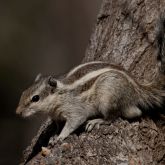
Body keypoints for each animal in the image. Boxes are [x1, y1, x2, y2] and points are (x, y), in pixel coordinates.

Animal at [16, 14, 165, 142]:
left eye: (35, 98)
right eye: (23, 93)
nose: (18, 112)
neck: (59, 96)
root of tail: (136, 89)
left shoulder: (75, 110)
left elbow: (74, 122)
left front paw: (61, 136)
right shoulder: (56, 116)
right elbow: (58, 125)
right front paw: (53, 136)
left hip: (108, 97)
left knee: (113, 117)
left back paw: (97, 121)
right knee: (135, 113)